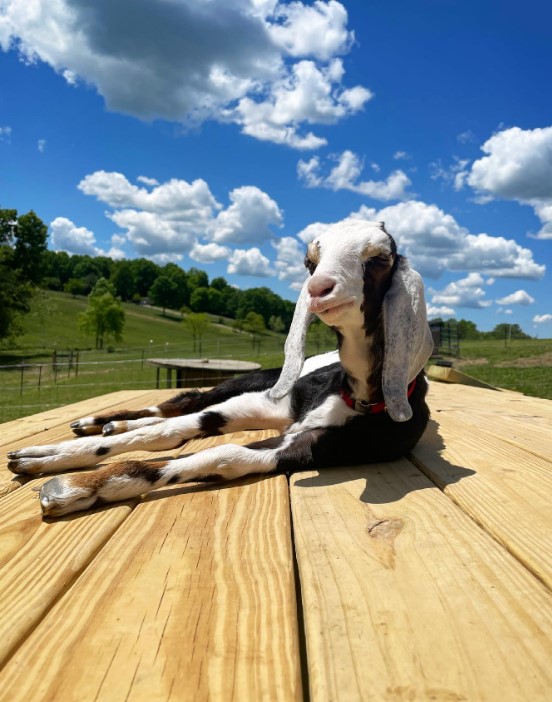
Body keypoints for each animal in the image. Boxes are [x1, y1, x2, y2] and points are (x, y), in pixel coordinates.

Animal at [6, 220, 434, 516]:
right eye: (309, 262)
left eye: (378, 259)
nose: (319, 290)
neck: (356, 395)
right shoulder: (260, 402)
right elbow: (170, 431)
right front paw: (49, 456)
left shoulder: (311, 447)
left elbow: (223, 455)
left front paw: (75, 485)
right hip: (253, 382)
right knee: (183, 402)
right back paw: (97, 422)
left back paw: (112, 424)